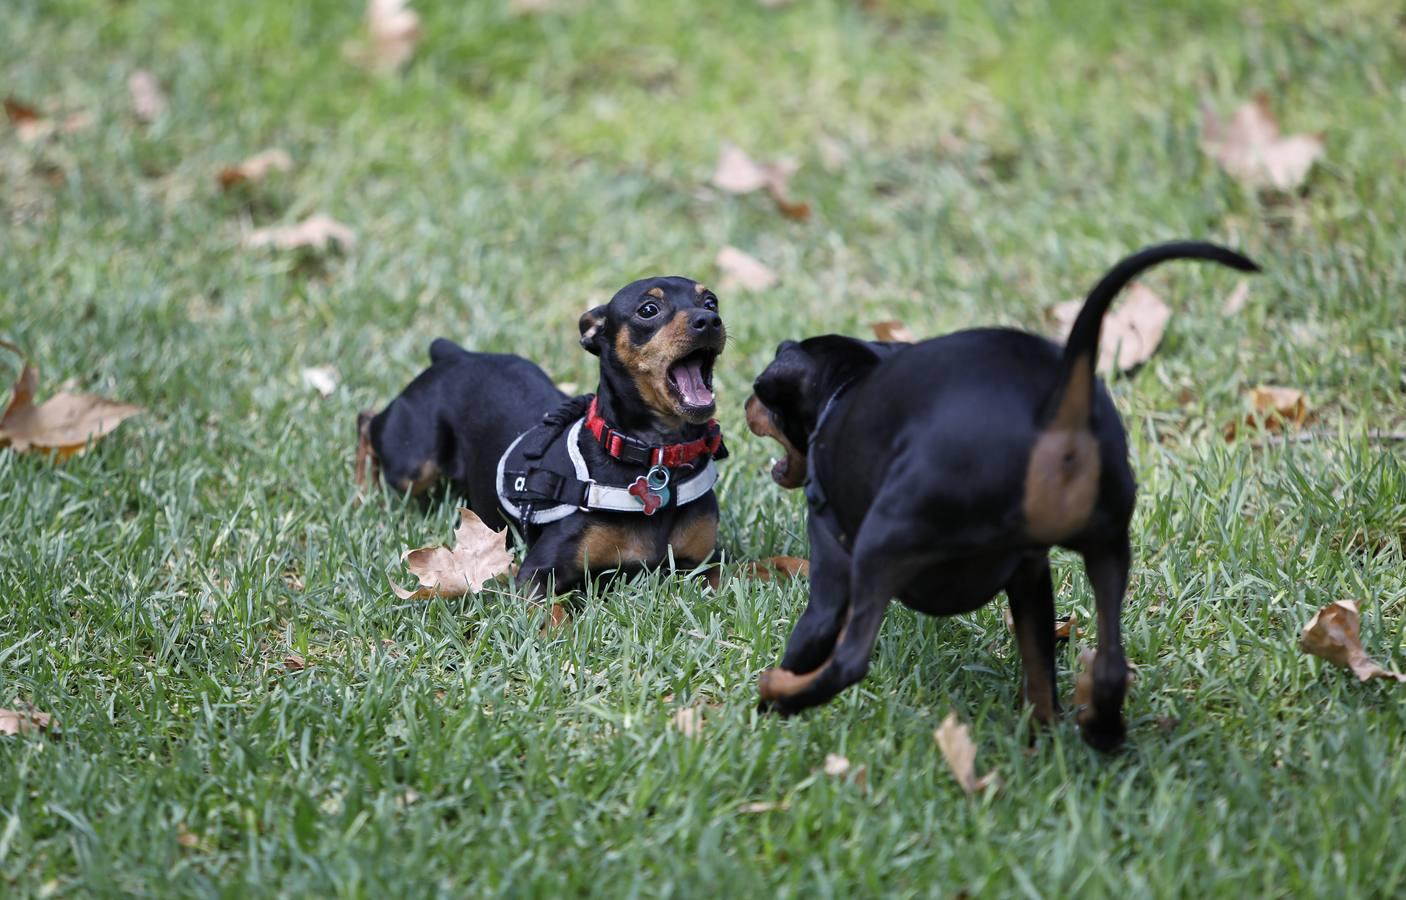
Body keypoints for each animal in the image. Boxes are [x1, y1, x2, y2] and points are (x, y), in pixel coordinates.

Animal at [357, 274, 731, 596]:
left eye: (711, 301)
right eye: (649, 310)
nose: (709, 321)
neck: (656, 456)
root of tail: (455, 354)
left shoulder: (706, 564)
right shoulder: (538, 573)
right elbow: (554, 616)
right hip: (413, 460)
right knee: (367, 421)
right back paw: (364, 491)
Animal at [742, 241, 1259, 748]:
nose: (746, 404)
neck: (845, 390)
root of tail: (1055, 410)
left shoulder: (830, 570)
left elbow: (808, 642)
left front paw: (764, 712)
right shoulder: (1030, 574)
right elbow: (1040, 663)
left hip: (881, 544)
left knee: (849, 662)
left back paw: (777, 691)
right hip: (1108, 545)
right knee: (1109, 669)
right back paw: (1090, 731)